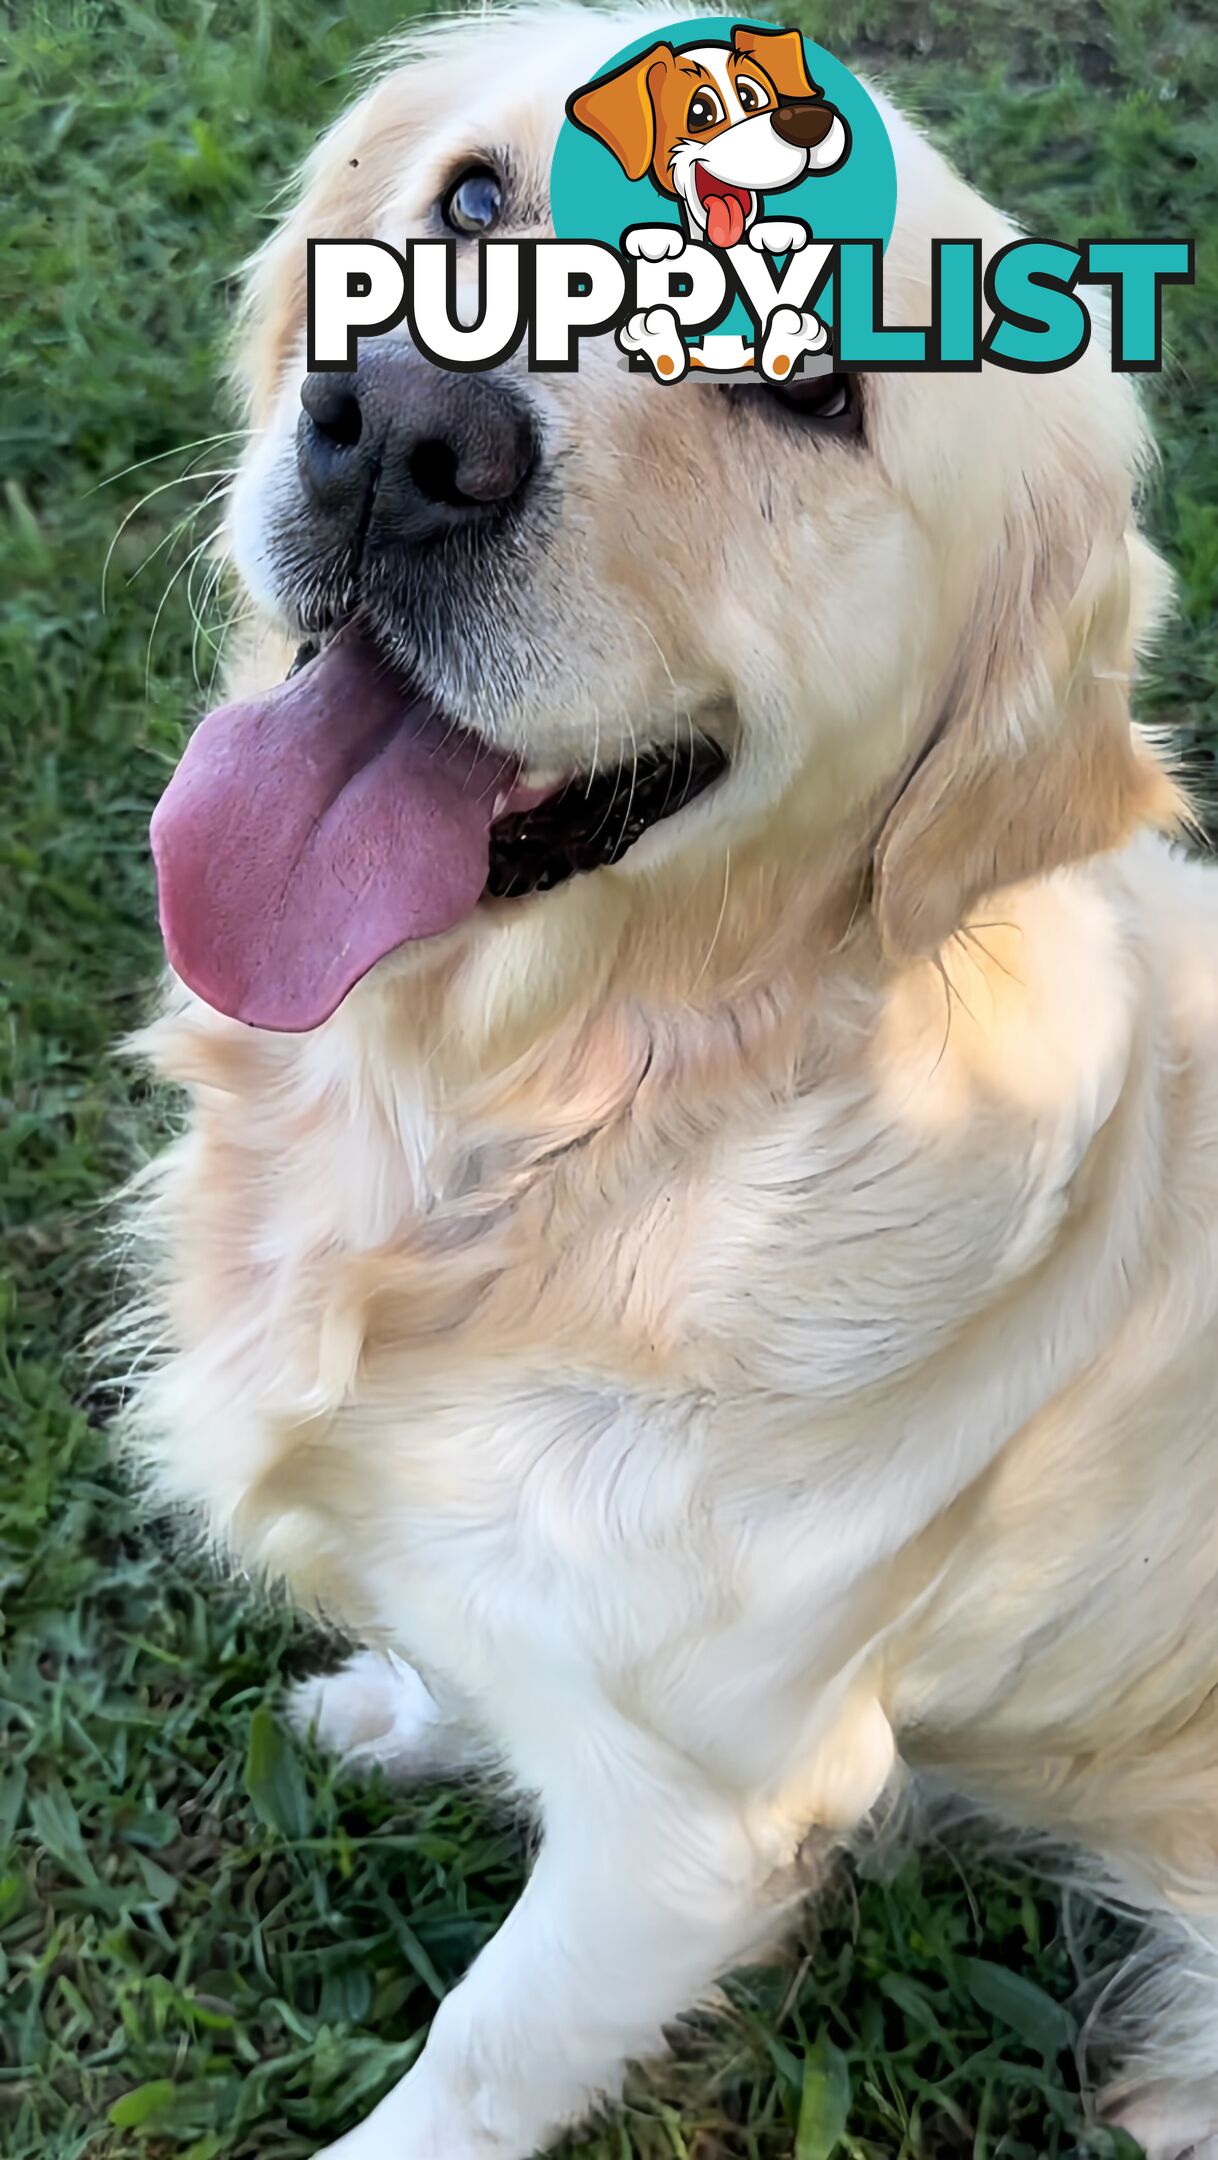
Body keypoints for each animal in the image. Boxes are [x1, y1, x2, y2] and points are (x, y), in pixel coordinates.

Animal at [128, 8, 1218, 2151]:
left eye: (802, 382)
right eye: (471, 201)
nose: (398, 431)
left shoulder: (693, 1829)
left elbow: (476, 2063)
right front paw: (397, 1705)